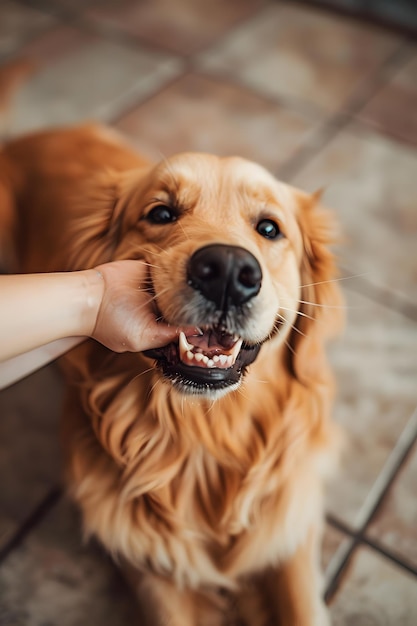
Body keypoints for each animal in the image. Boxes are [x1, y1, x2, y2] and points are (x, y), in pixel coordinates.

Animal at [0, 123, 342, 624]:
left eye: (269, 228)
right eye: (161, 213)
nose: (227, 270)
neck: (201, 440)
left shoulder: (288, 537)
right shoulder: (150, 566)